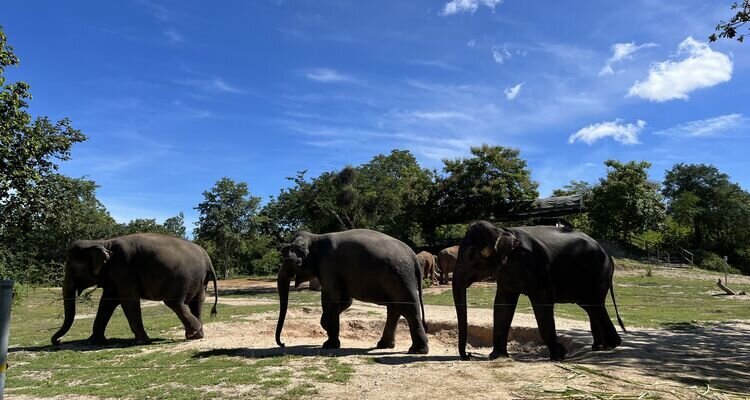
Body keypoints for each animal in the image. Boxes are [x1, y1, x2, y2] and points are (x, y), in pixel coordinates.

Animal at [51, 233, 218, 346]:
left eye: (72, 269)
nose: (58, 341)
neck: (103, 242)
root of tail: (207, 258)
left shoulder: (123, 269)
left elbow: (128, 300)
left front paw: (141, 342)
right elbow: (107, 303)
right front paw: (92, 341)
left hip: (182, 279)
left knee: (175, 303)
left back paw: (194, 333)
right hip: (201, 282)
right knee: (196, 303)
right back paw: (195, 335)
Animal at [275, 229, 429, 354]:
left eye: (294, 262)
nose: (283, 344)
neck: (315, 237)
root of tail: (414, 256)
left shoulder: (328, 266)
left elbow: (331, 298)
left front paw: (329, 345)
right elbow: (345, 301)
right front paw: (326, 326)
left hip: (401, 278)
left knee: (408, 309)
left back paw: (416, 350)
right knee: (394, 309)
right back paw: (384, 345)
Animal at [452, 221, 626, 361]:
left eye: (472, 255)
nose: (468, 355)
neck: (503, 231)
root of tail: (608, 255)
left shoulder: (537, 266)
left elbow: (543, 301)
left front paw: (559, 354)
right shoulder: (505, 274)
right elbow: (503, 304)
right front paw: (496, 356)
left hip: (599, 274)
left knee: (595, 305)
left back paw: (611, 345)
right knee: (590, 307)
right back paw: (600, 346)